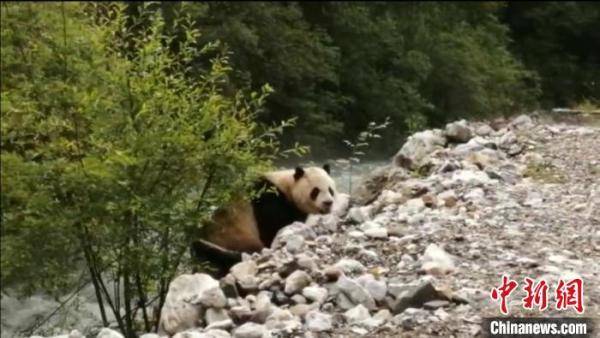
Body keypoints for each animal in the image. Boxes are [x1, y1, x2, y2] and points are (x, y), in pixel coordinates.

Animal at [191, 164, 338, 278]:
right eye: (315, 191)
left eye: (330, 190)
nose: (328, 203)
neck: (287, 187)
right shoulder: (269, 199)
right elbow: (273, 227)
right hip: (232, 236)